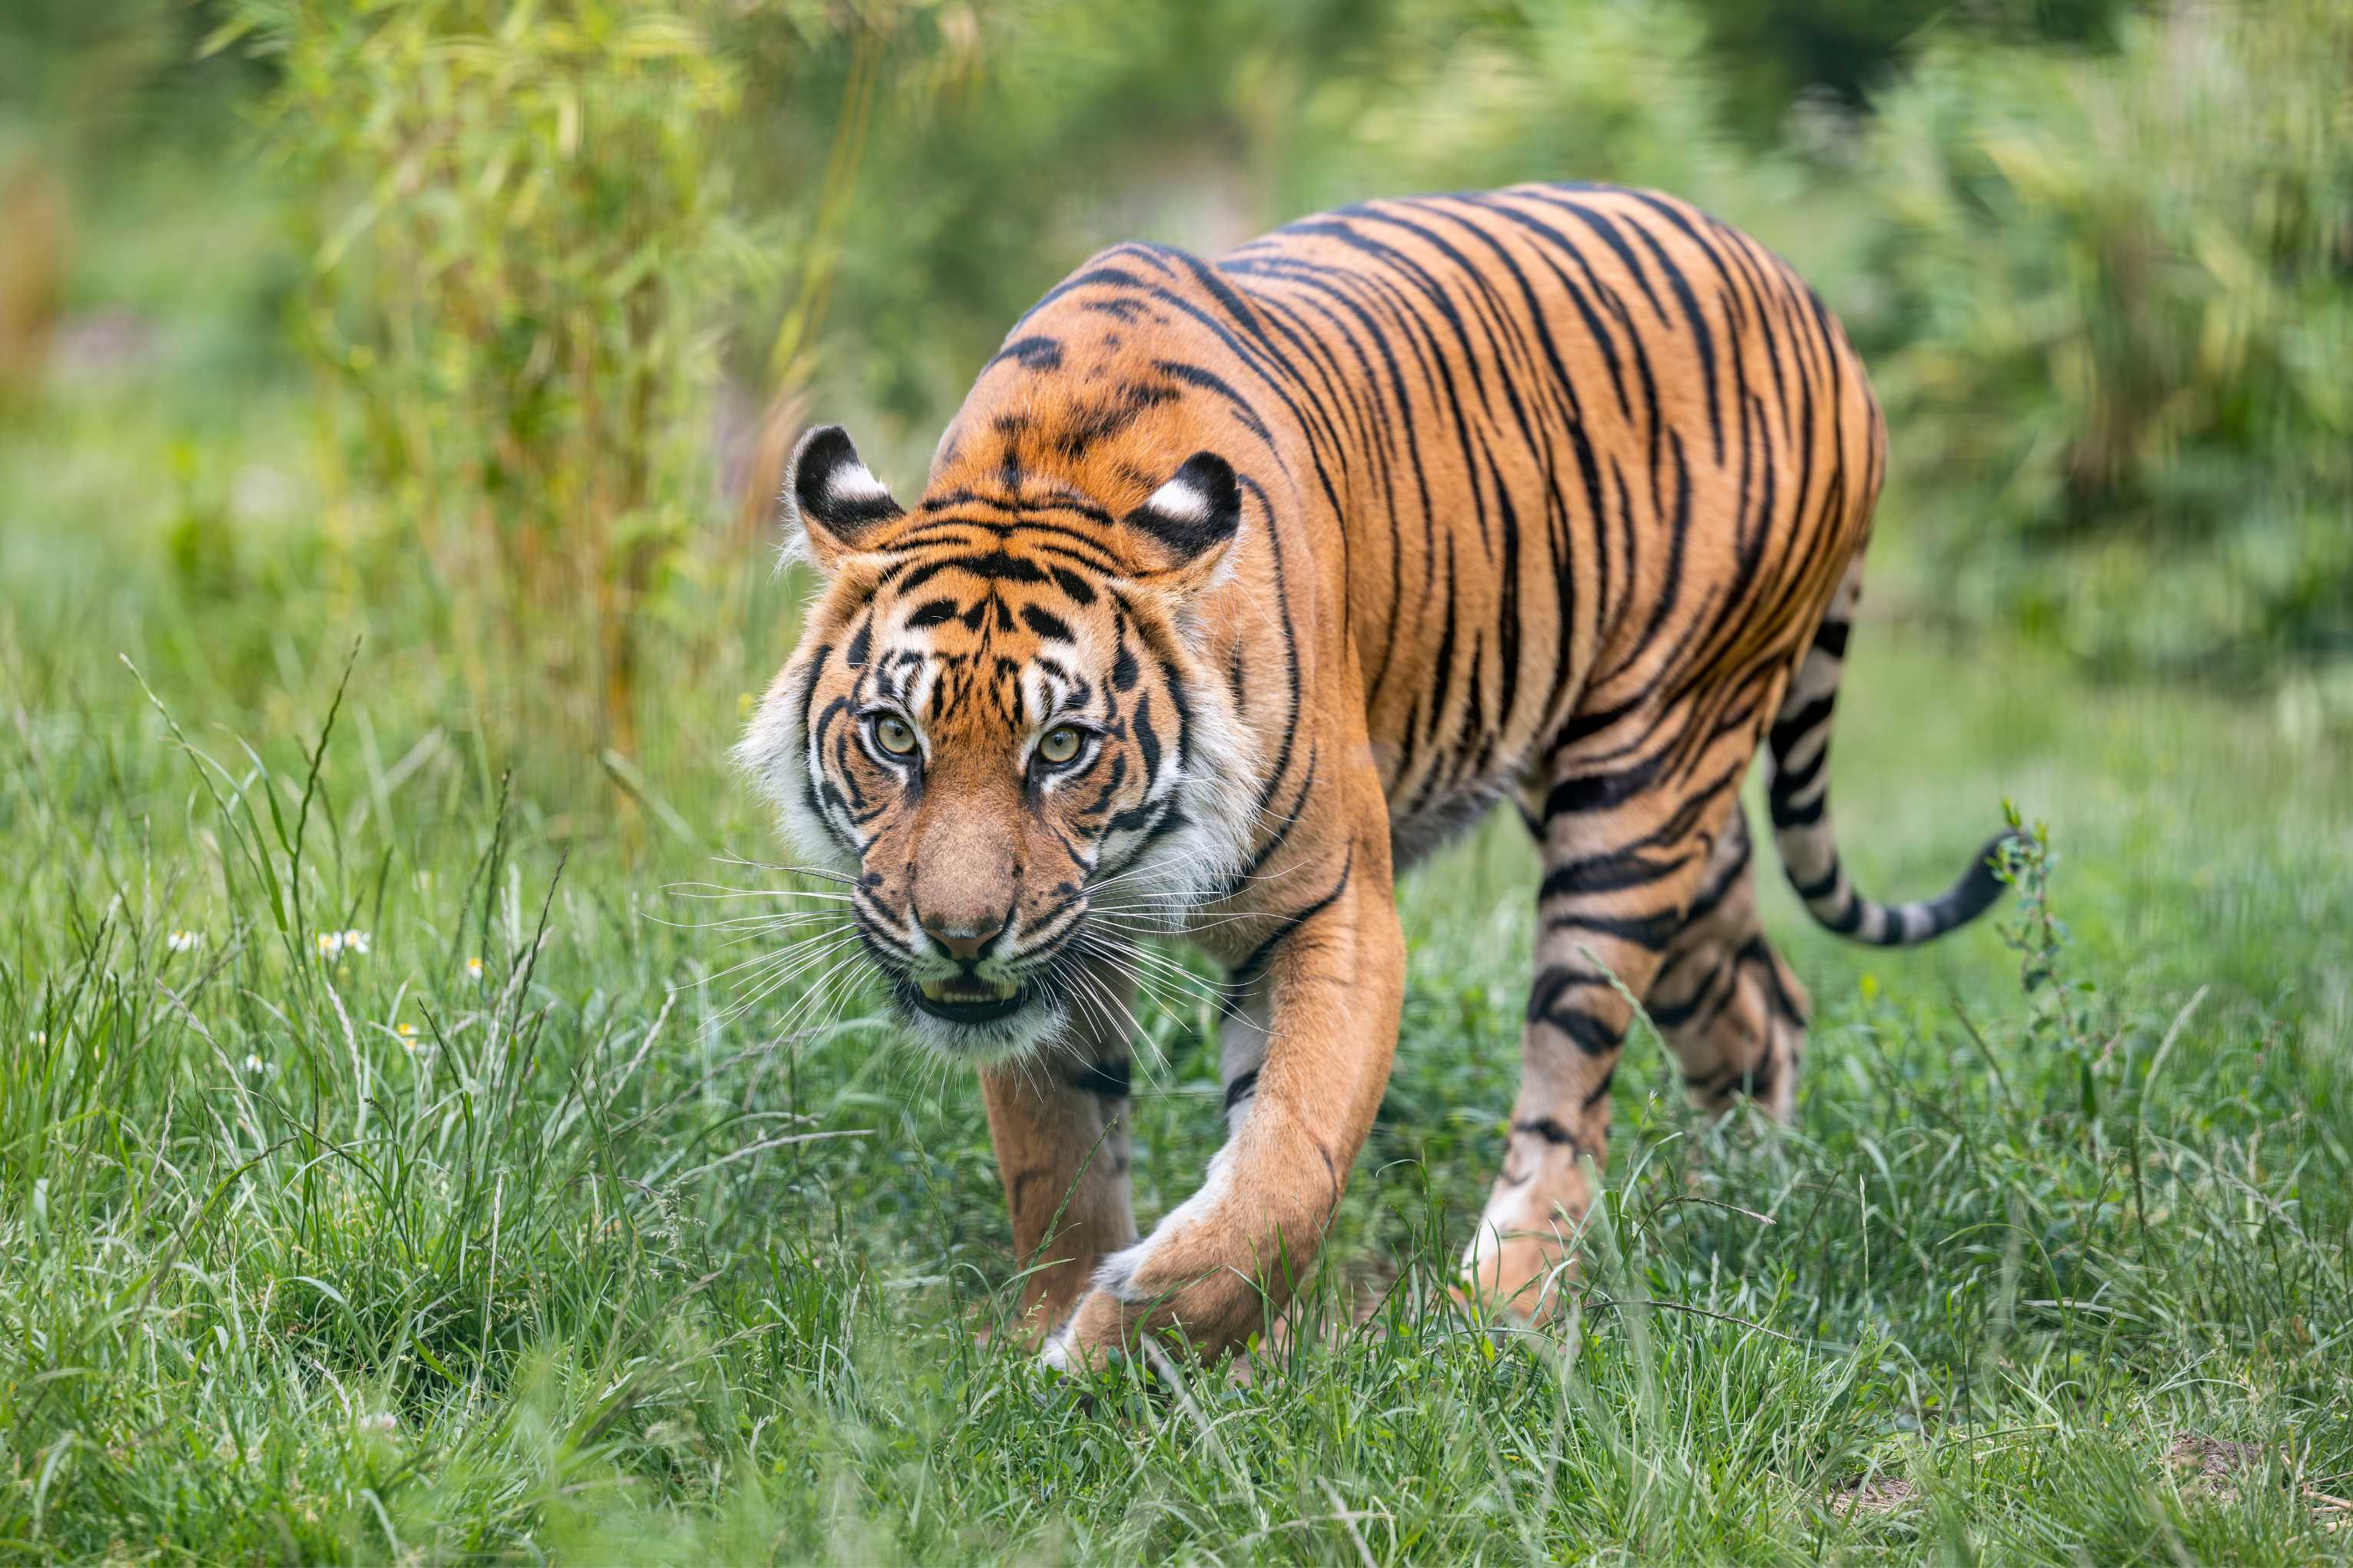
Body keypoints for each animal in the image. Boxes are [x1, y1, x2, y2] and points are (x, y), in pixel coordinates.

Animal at [738, 181, 2011, 1369]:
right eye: (893, 736)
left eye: (1062, 749)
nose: (957, 938)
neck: (1053, 470)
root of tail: (1808, 299)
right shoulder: (1064, 949)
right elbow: (1056, 1160)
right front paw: (1050, 1333)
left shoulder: (1330, 905)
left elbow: (1281, 1170)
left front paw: (1125, 1341)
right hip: (1676, 796)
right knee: (1759, 1010)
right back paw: (1728, 1223)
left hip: (1637, 786)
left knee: (1573, 1087)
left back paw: (1497, 1313)